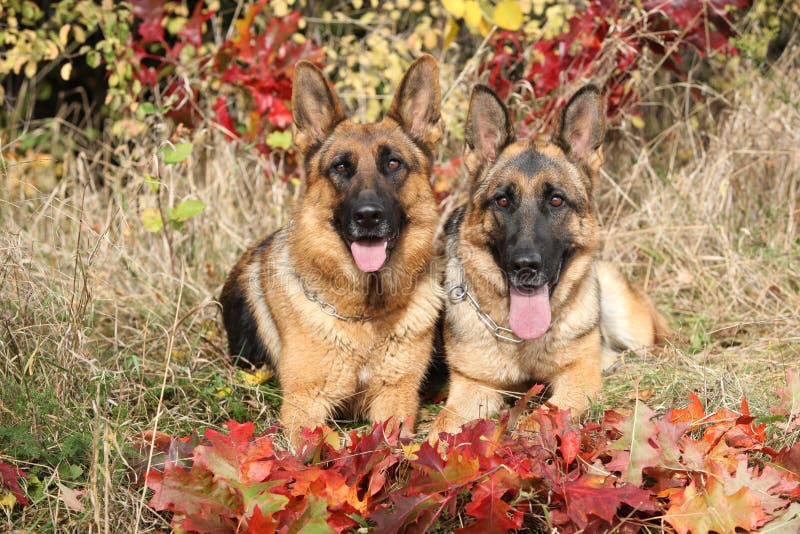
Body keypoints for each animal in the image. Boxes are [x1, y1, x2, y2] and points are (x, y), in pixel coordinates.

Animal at [219, 55, 444, 448]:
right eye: (341, 166)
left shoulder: (396, 396)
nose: (368, 216)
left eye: (393, 164)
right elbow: (329, 443)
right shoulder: (304, 405)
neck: (364, 316)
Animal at [432, 84, 668, 436]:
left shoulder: (577, 380)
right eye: (502, 201)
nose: (525, 265)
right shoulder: (473, 387)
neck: (520, 339)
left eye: (556, 200)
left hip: (626, 318)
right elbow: (440, 428)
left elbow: (539, 417)